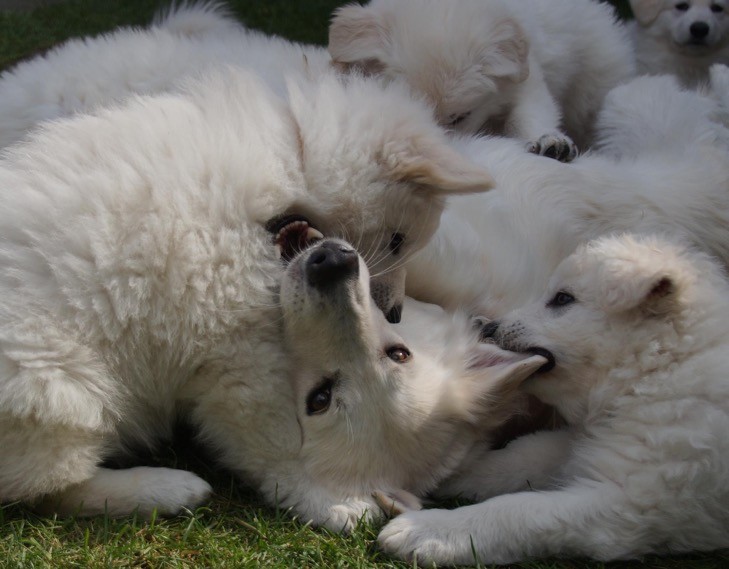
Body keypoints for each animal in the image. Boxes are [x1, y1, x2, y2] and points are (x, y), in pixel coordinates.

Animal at [0, 64, 494, 532]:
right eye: (397, 241)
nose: (394, 312)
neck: (289, 163)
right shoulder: (236, 353)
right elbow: (269, 444)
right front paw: (328, 503)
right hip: (61, 394)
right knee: (47, 492)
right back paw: (166, 488)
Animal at [378, 233, 729, 564]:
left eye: (562, 298)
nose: (487, 327)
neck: (659, 367)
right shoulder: (581, 441)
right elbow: (521, 454)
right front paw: (452, 478)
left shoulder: (632, 501)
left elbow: (521, 509)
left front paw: (430, 531)